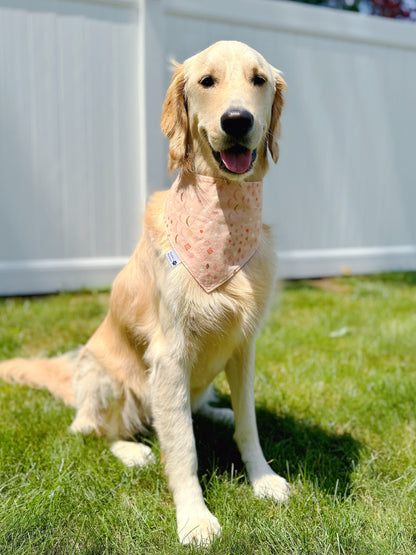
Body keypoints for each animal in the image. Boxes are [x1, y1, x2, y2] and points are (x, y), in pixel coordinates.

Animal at [0, 41, 288, 544]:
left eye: (259, 80)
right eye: (207, 81)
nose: (237, 120)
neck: (224, 218)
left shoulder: (244, 345)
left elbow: (249, 425)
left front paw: (263, 478)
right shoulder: (170, 355)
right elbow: (183, 448)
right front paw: (194, 517)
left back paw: (216, 411)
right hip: (104, 378)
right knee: (91, 429)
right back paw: (133, 450)